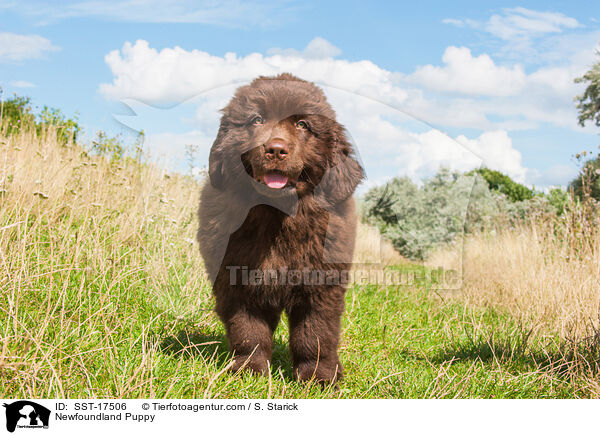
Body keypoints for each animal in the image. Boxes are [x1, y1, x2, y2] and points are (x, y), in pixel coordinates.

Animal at [198, 73, 366, 384]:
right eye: (256, 119)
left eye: (302, 125)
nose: (275, 149)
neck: (277, 216)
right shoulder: (236, 282)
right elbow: (248, 330)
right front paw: (250, 369)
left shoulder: (321, 285)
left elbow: (315, 333)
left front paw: (318, 376)